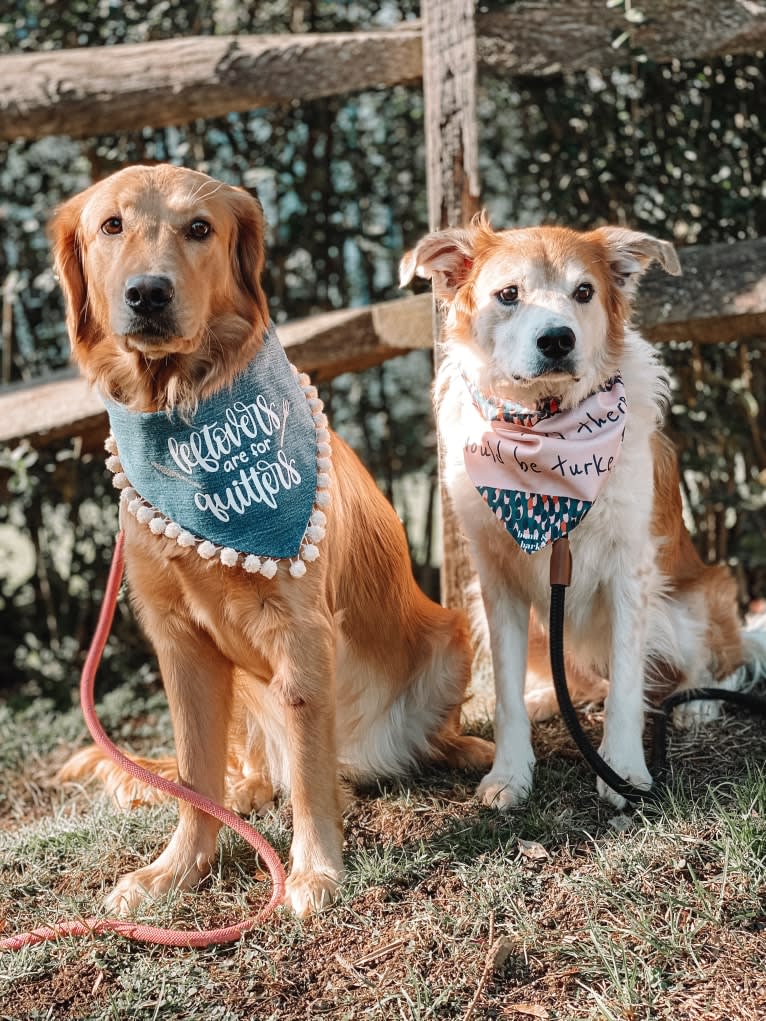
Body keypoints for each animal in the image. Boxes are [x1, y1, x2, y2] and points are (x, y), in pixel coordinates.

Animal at [402, 219, 766, 808]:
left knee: (713, 664)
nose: (557, 339)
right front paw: (511, 773)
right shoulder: (496, 580)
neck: (545, 431)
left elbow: (627, 686)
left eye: (584, 292)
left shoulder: (631, 572)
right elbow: (505, 693)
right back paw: (548, 699)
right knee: (579, 681)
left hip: (692, 602)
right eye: (509, 294)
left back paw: (698, 702)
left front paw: (623, 770)